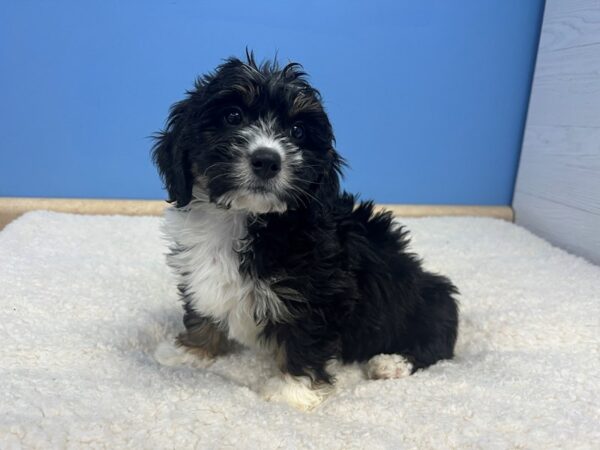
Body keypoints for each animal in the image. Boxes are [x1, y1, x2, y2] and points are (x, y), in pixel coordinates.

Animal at [151, 54, 460, 410]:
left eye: (297, 131)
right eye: (232, 115)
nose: (267, 160)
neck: (245, 218)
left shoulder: (320, 293)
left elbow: (305, 339)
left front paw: (291, 391)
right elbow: (202, 312)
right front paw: (190, 351)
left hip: (427, 300)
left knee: (436, 342)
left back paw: (391, 362)